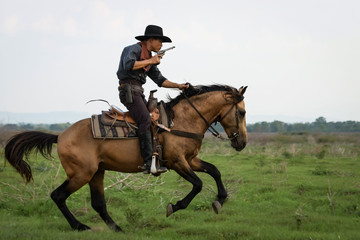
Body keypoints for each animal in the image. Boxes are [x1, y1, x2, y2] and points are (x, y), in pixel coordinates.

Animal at [4, 84, 248, 231]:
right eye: (242, 112)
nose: (243, 142)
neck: (180, 121)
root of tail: (60, 135)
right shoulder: (178, 162)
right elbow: (197, 184)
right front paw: (175, 206)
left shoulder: (191, 160)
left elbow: (214, 170)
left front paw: (220, 200)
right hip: (82, 173)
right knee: (58, 195)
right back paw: (80, 226)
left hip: (97, 172)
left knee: (98, 204)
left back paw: (116, 228)